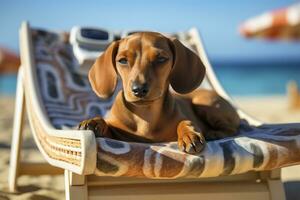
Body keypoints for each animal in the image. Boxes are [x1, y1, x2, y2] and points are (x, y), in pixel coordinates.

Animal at [78, 31, 240, 153]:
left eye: (161, 59)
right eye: (122, 60)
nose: (139, 89)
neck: (145, 115)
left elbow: (185, 121)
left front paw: (189, 134)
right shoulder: (118, 134)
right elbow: (107, 125)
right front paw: (94, 122)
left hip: (205, 103)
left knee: (232, 128)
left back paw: (214, 133)